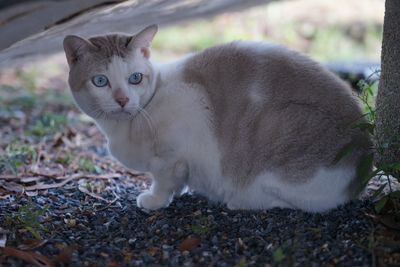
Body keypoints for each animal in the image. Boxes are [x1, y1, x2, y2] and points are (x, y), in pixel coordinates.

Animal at [62, 25, 372, 214]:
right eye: (100, 81)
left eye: (135, 78)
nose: (122, 99)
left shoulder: (173, 155)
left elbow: (164, 181)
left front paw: (154, 200)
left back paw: (238, 200)